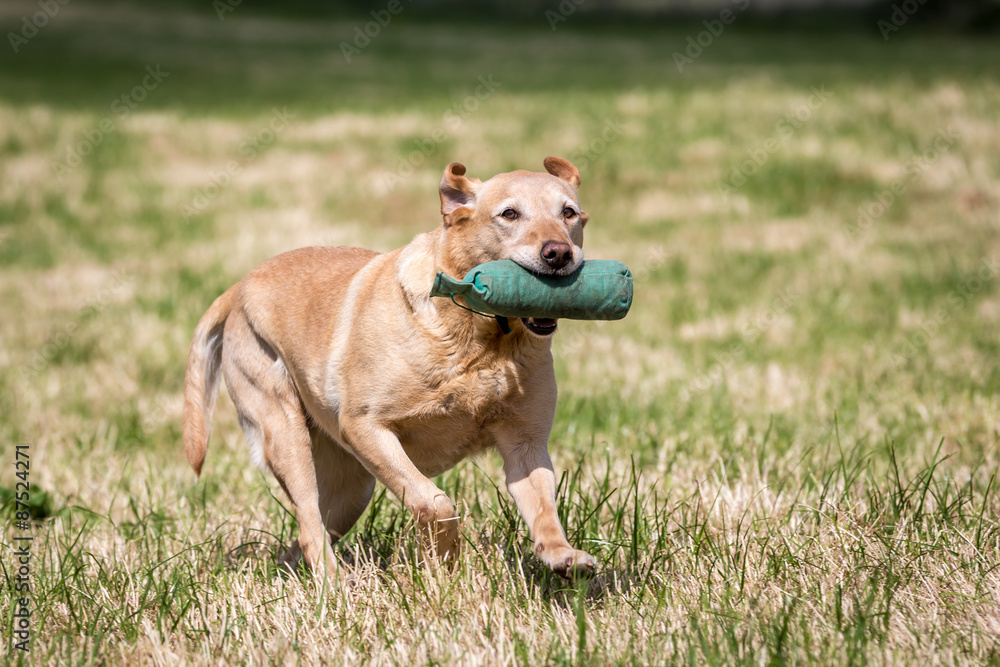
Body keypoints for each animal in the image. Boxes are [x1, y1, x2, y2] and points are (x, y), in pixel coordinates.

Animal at [185, 157, 596, 580]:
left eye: (569, 213)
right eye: (509, 214)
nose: (559, 254)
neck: (479, 340)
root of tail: (239, 286)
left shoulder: (525, 444)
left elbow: (544, 509)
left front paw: (563, 555)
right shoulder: (364, 427)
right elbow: (436, 503)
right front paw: (444, 561)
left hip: (351, 490)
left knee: (304, 536)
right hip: (286, 436)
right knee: (310, 526)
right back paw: (335, 584)